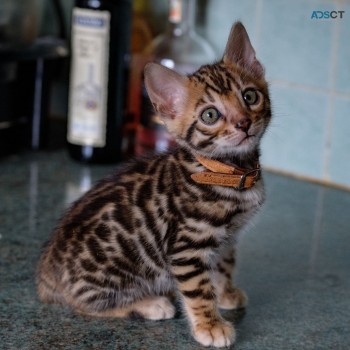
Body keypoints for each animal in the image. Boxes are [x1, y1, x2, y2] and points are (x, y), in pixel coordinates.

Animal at [37, 22, 270, 348]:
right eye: (210, 115)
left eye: (249, 97)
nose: (243, 123)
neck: (225, 171)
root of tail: (47, 274)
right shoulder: (187, 247)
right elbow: (199, 290)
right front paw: (210, 326)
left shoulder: (227, 239)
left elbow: (222, 267)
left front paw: (225, 292)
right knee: (84, 304)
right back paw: (150, 304)